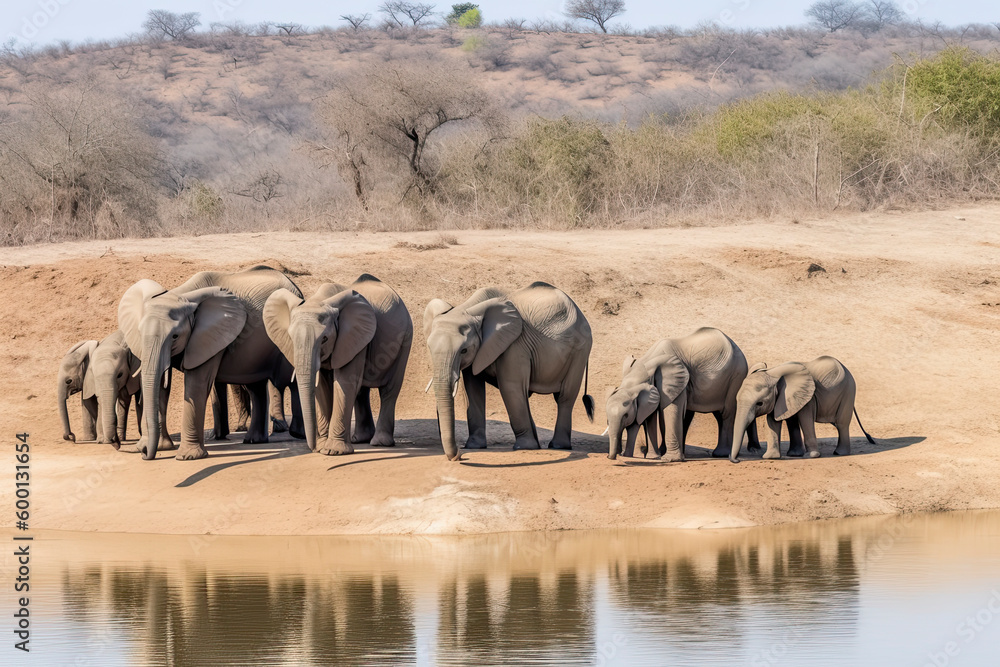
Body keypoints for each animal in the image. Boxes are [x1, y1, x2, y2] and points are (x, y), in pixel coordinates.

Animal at [118, 266, 304, 460]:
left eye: (175, 336)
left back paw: (297, 434)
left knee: (291, 380)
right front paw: (162, 448)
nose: (144, 453)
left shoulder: (211, 337)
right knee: (256, 386)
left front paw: (188, 457)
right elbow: (161, 386)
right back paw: (254, 441)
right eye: (139, 332)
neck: (182, 294)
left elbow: (197, 383)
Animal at [264, 274, 413, 456]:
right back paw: (359, 440)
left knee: (389, 390)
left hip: (405, 339)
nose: (313, 448)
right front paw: (323, 448)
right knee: (361, 391)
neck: (320, 300)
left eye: (324, 339)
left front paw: (333, 451)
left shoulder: (353, 336)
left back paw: (380, 443)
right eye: (291, 338)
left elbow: (344, 383)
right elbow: (322, 387)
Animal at [424, 281, 594, 461]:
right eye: (429, 347)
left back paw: (558, 446)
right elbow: (473, 389)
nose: (460, 456)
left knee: (565, 397)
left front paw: (524, 447)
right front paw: (475, 446)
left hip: (580, 350)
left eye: (464, 350)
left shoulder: (514, 343)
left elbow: (510, 386)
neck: (468, 308)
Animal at [605, 327, 761, 462]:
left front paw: (669, 459)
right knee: (714, 415)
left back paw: (720, 454)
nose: (609, 457)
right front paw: (657, 456)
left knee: (726, 414)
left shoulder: (677, 381)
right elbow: (656, 415)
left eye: (626, 415)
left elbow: (670, 410)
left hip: (736, 376)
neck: (647, 363)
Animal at [730, 356, 875, 462]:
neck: (774, 371)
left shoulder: (808, 397)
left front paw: (811, 456)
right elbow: (774, 422)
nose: (737, 460)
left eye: (759, 403)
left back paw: (839, 453)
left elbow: (805, 420)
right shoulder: (781, 398)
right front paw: (773, 457)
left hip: (848, 391)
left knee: (842, 424)